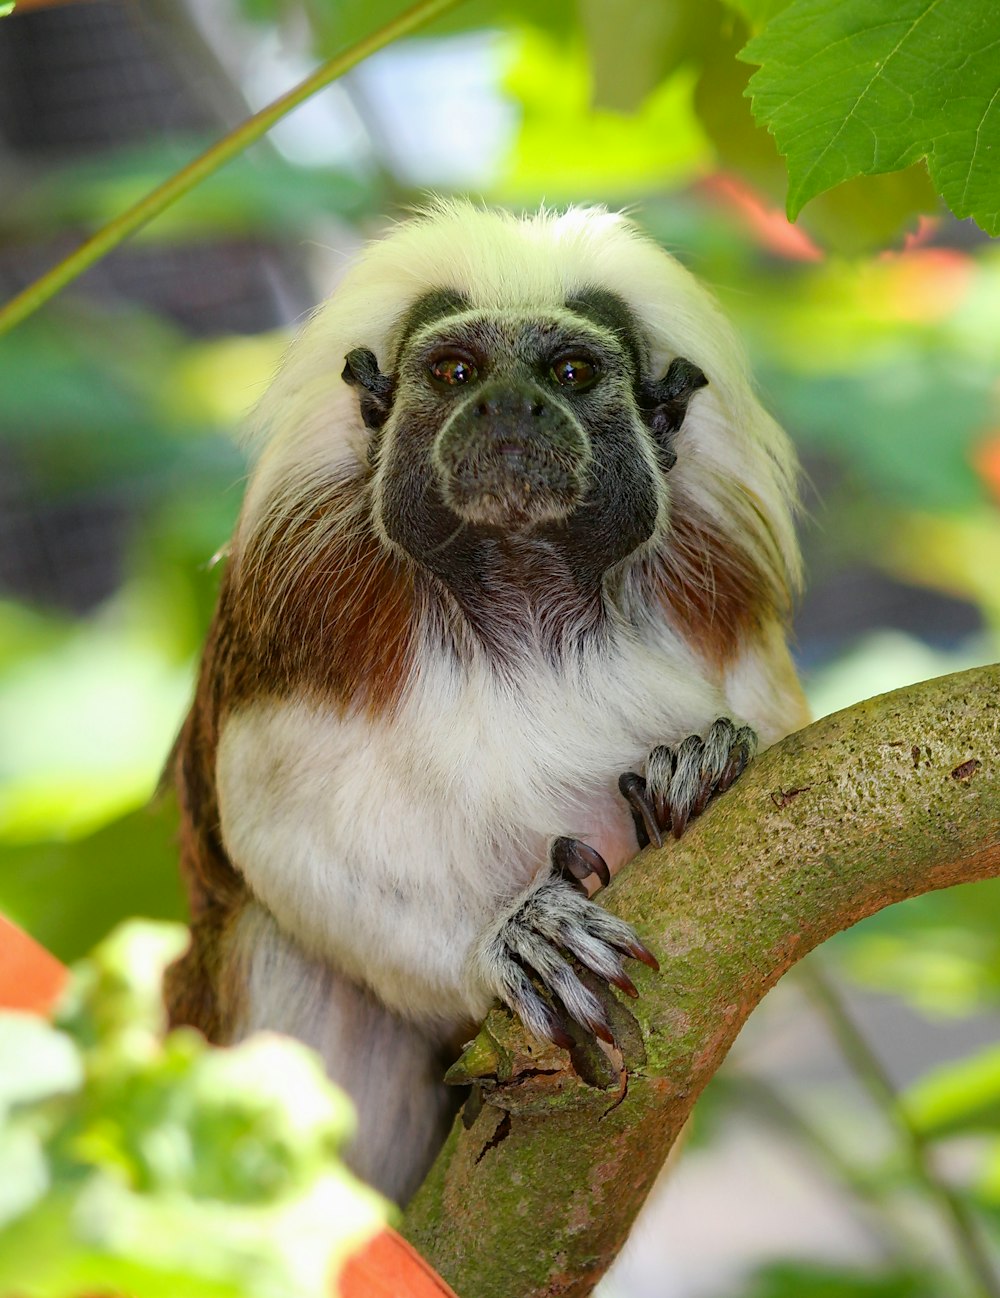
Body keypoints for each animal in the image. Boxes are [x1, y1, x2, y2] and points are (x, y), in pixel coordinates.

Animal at [161, 202, 800, 1204]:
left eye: (569, 372)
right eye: (457, 371)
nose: (506, 405)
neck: (524, 592)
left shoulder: (721, 598)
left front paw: (697, 768)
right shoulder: (305, 615)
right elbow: (283, 844)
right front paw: (515, 940)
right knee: (273, 943)